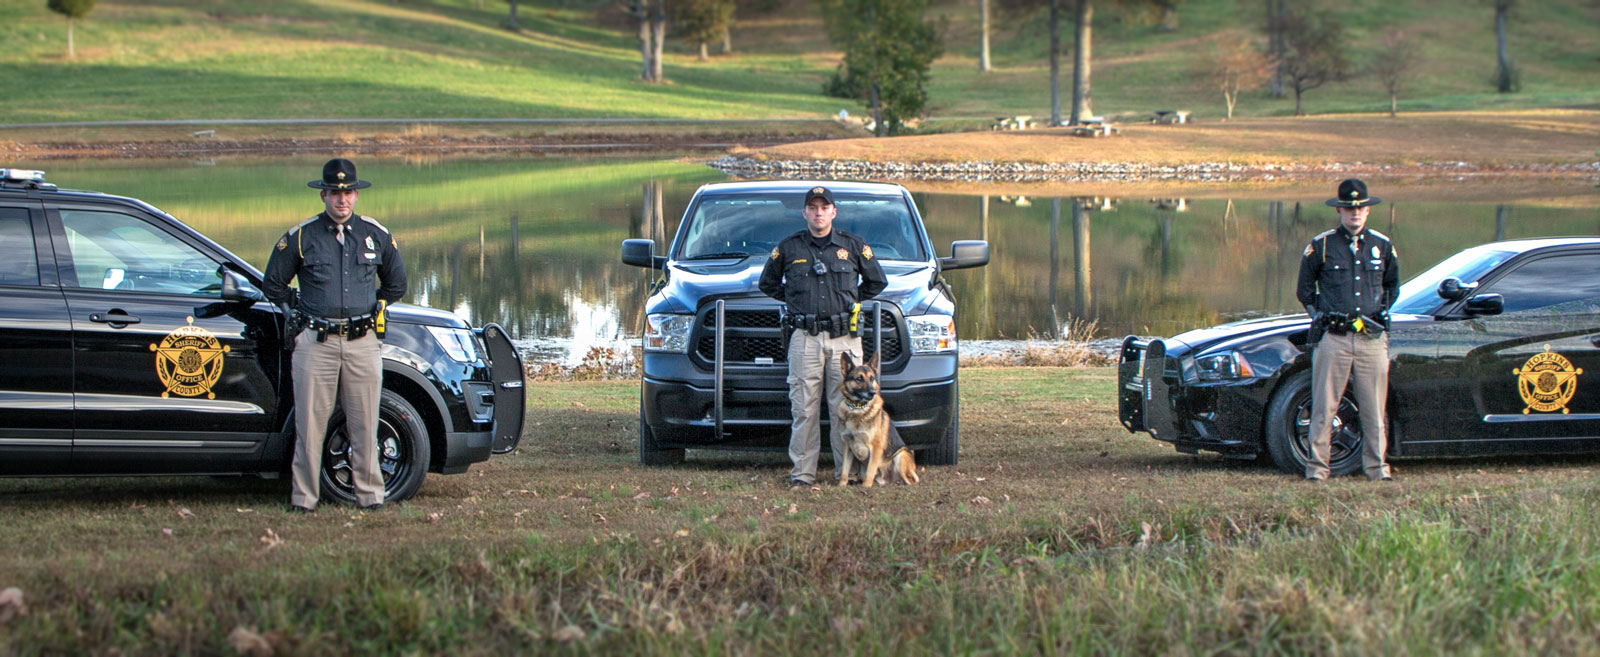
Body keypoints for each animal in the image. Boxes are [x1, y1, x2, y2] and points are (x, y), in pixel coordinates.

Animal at [838, 351, 915, 485]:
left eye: (872, 378)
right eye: (859, 379)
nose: (873, 392)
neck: (857, 408)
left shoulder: (876, 448)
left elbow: (870, 471)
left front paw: (866, 487)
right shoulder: (847, 446)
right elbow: (844, 471)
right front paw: (841, 486)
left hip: (900, 456)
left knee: (911, 481)